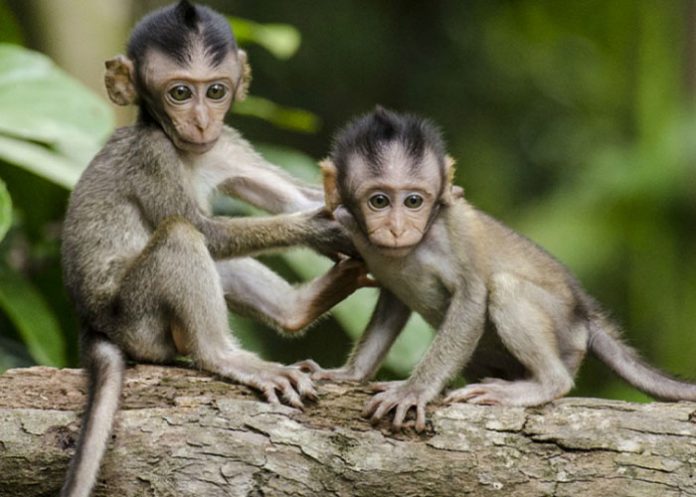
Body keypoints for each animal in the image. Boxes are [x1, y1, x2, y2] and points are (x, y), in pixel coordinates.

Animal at [59, 2, 367, 496]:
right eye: (180, 93)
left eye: (216, 91)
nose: (202, 120)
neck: (187, 150)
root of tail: (92, 324)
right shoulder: (153, 155)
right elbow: (208, 231)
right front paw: (319, 229)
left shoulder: (226, 145)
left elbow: (293, 197)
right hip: (138, 322)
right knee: (182, 235)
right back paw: (224, 356)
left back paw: (299, 308)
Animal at [298, 106, 696, 433]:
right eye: (379, 201)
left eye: (413, 201)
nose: (397, 229)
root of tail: (583, 312)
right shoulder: (353, 227)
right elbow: (392, 303)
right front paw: (348, 374)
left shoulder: (453, 232)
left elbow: (472, 298)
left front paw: (414, 390)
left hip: (565, 335)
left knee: (506, 289)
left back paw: (543, 384)